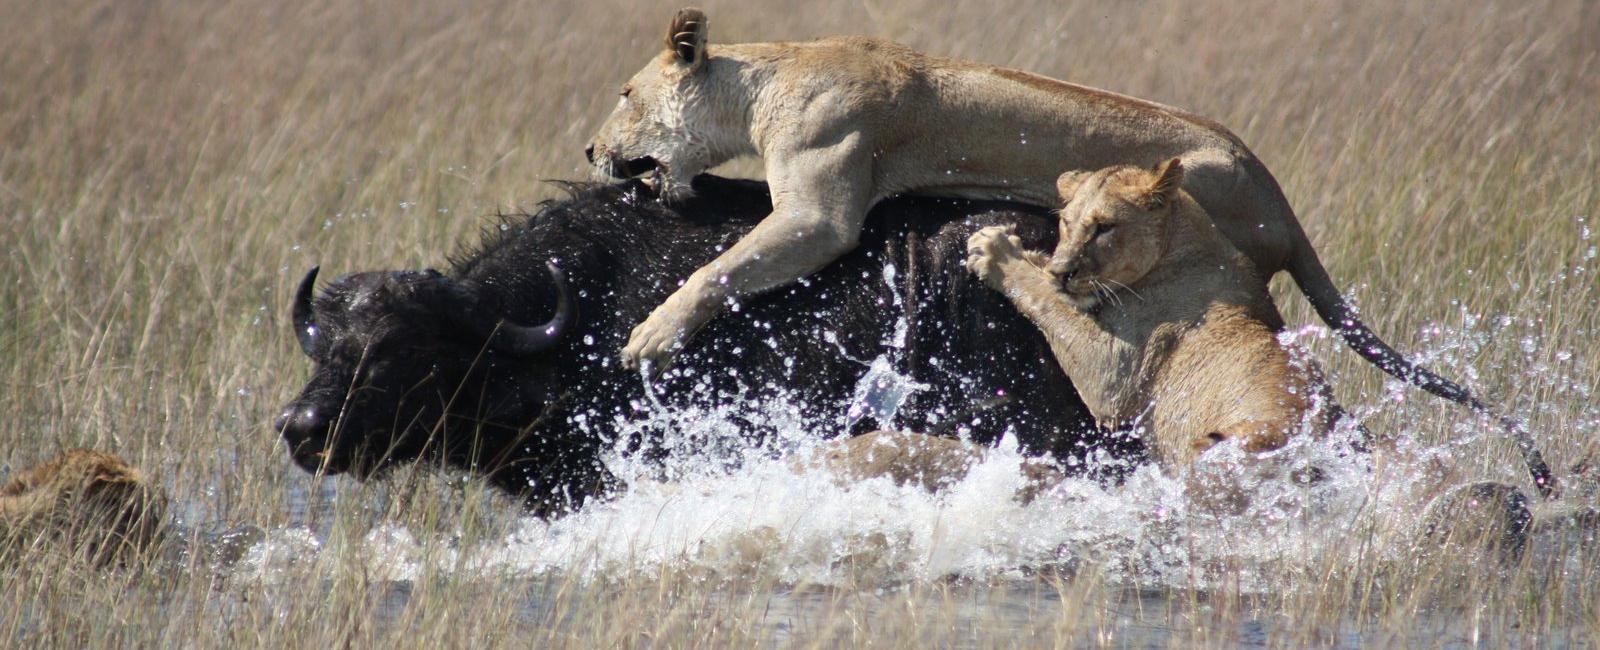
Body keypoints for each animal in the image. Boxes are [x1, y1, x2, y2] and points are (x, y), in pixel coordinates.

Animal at [585, 6, 1548, 496]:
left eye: (625, 94)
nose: (591, 150)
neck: (767, 79)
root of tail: (1273, 188)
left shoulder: (822, 210)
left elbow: (718, 269)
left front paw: (650, 335)